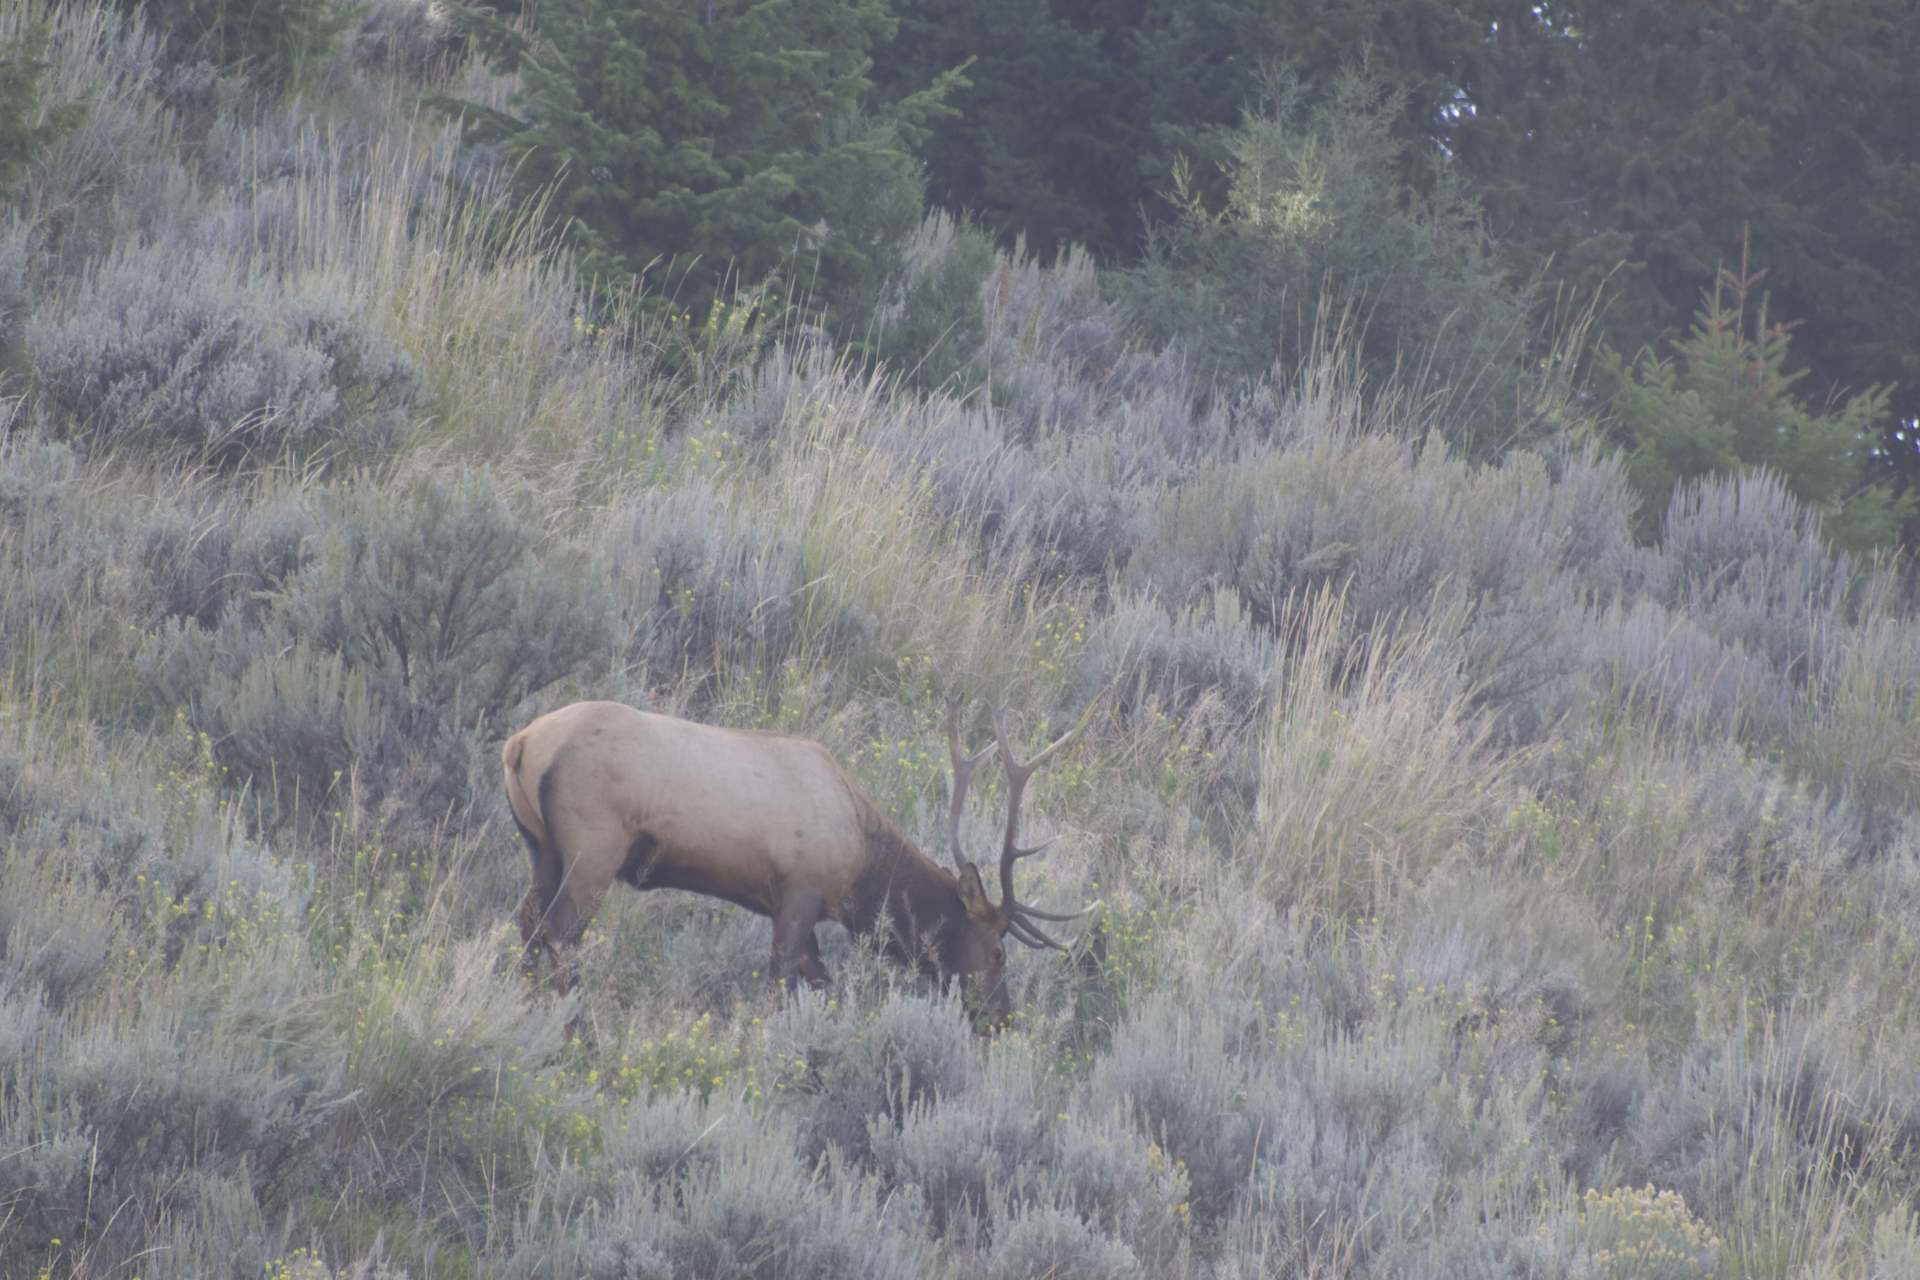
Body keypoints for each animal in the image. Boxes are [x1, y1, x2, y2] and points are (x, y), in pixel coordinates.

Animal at [500, 696, 1094, 1024]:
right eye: (997, 952)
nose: (1002, 1019)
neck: (862, 868)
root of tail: (520, 743)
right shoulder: (800, 891)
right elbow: (781, 984)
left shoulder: (792, 906)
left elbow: (822, 985)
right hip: (594, 846)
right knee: (561, 933)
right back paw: (577, 1028)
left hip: (540, 847)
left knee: (528, 921)